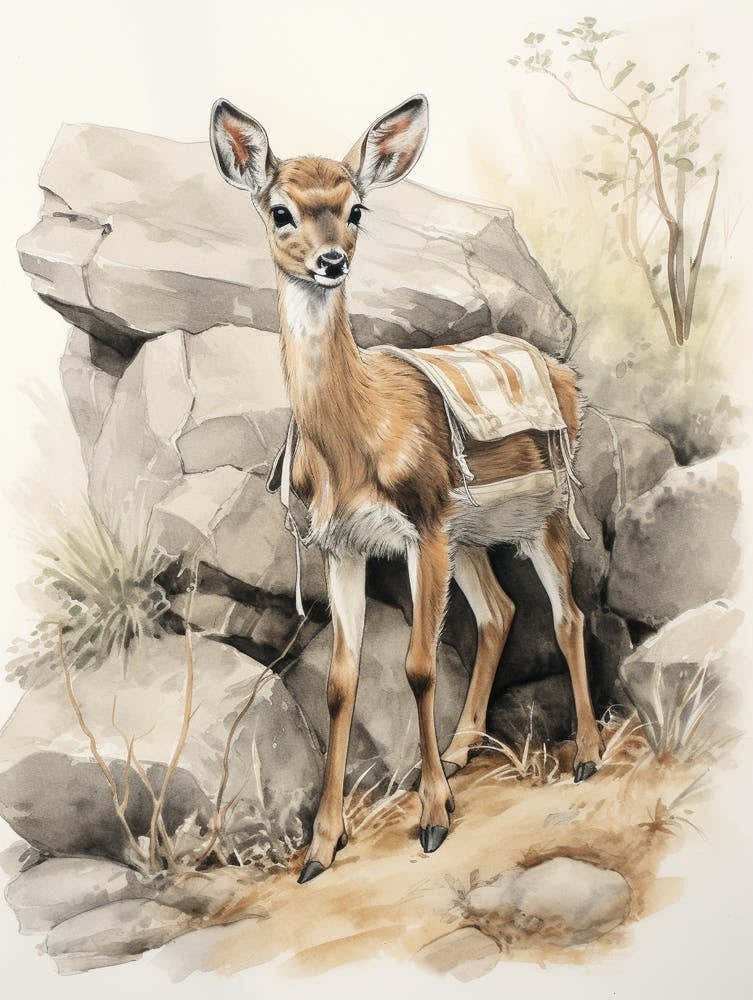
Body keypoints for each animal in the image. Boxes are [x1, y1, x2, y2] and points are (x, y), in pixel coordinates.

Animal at [210, 94, 603, 885]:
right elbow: (341, 681)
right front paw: (320, 847)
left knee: (568, 614)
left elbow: (418, 667)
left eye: (355, 208)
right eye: (280, 210)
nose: (331, 260)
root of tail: (564, 374)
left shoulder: (421, 524)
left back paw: (585, 755)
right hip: (470, 531)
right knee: (499, 611)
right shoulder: (345, 547)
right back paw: (461, 747)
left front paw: (431, 819)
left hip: (538, 514)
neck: (357, 438)